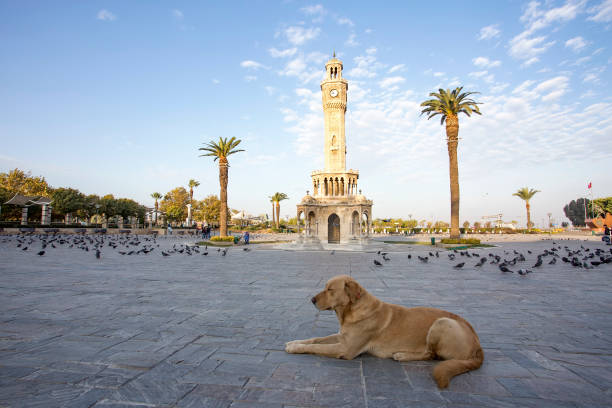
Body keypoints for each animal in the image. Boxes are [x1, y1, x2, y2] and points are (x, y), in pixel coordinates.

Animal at [286, 272, 482, 388]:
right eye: (325, 287)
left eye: (330, 289)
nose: (312, 299)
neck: (351, 310)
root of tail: (478, 345)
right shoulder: (342, 337)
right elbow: (315, 339)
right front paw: (294, 341)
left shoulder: (345, 349)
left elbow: (317, 347)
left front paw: (295, 348)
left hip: (442, 322)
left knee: (431, 354)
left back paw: (402, 355)